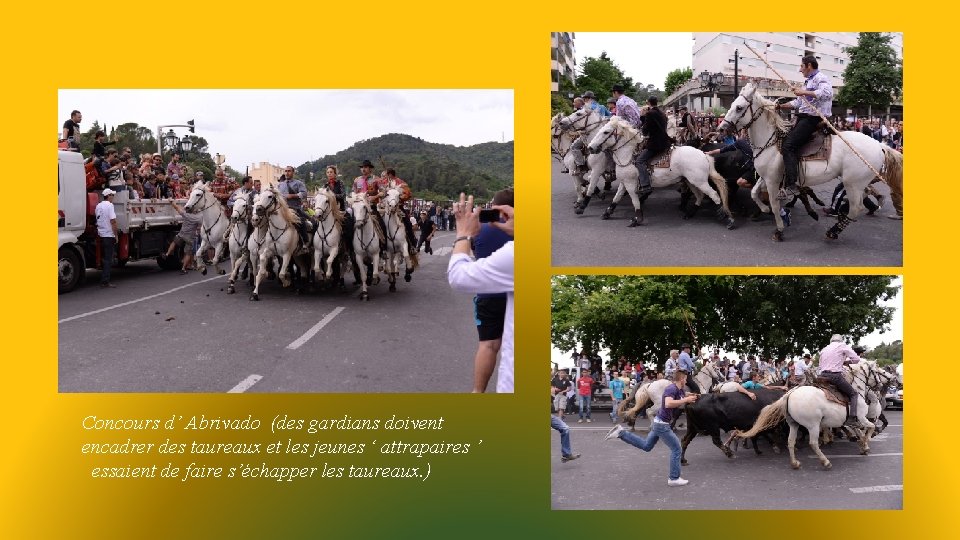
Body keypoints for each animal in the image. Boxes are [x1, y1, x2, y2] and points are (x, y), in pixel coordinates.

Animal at [584, 117, 736, 229]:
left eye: (605, 132)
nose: (590, 148)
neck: (628, 156)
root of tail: (703, 154)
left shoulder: (630, 184)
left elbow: (634, 200)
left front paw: (637, 219)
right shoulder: (624, 182)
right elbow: (617, 197)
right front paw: (607, 212)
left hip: (699, 181)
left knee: (715, 195)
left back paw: (728, 219)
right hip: (691, 181)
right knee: (700, 196)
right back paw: (690, 213)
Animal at [720, 84, 900, 240]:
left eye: (739, 107)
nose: (722, 128)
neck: (770, 142)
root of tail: (879, 145)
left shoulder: (772, 181)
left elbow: (775, 204)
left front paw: (779, 229)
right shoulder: (765, 178)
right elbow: (754, 193)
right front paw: (764, 209)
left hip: (852, 183)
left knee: (856, 207)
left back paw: (833, 230)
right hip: (857, 183)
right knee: (862, 198)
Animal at [740, 360, 880, 470]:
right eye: (878, 372)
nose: (879, 386)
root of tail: (789, 394)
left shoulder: (852, 422)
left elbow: (860, 431)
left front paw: (863, 446)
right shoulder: (861, 418)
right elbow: (870, 427)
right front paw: (866, 443)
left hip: (793, 424)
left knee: (790, 441)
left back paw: (795, 463)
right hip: (813, 425)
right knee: (813, 443)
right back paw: (825, 462)